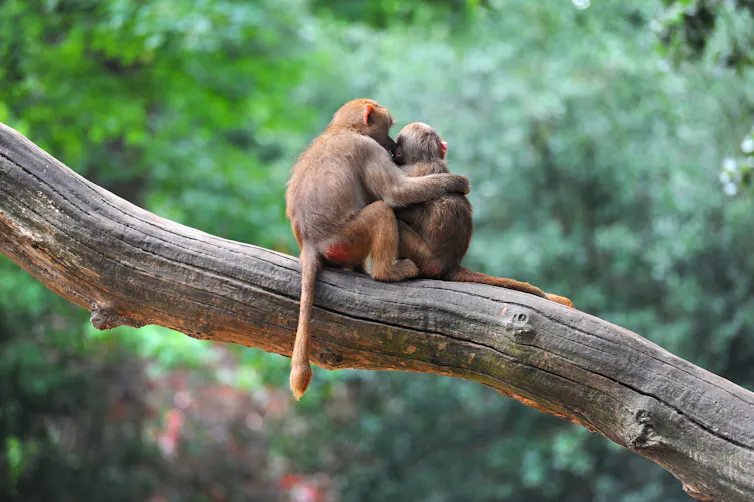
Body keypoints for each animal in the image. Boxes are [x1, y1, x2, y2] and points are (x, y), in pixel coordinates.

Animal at [285, 100, 471, 400]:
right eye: (389, 127)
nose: (393, 145)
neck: (343, 129)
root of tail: (310, 243)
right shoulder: (368, 149)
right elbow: (395, 194)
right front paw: (458, 182)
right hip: (345, 239)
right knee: (381, 211)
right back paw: (387, 272)